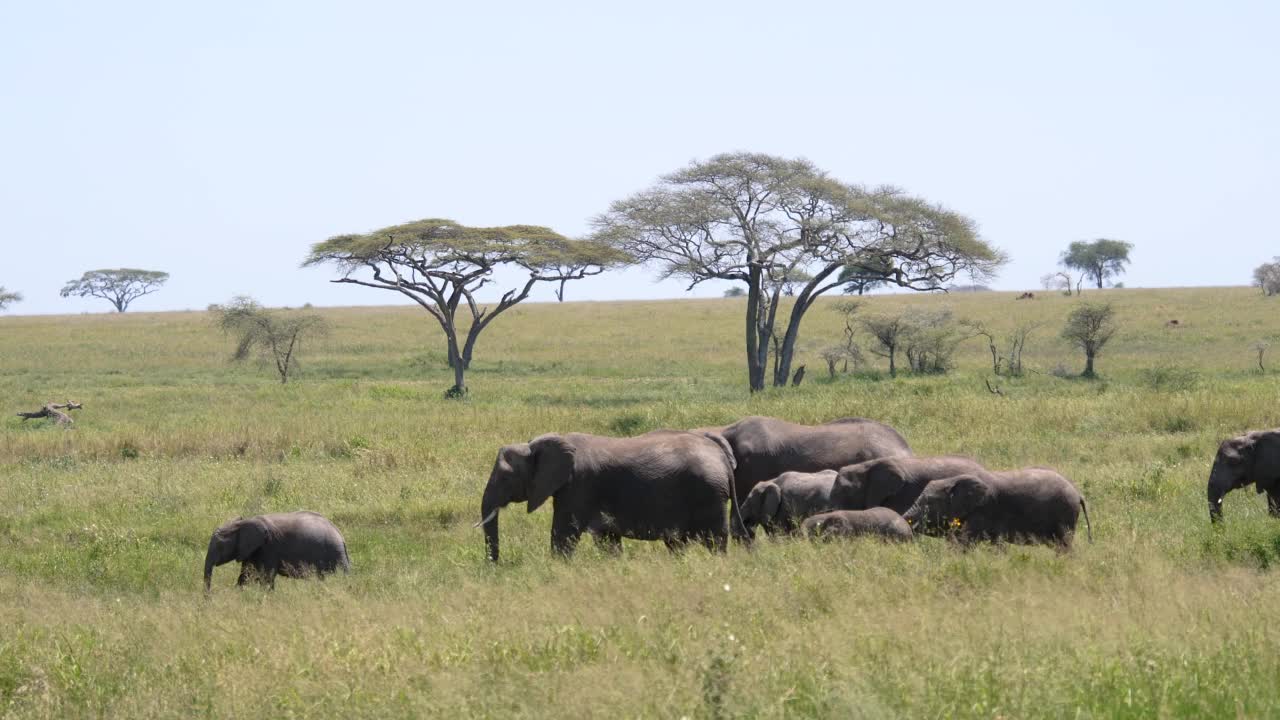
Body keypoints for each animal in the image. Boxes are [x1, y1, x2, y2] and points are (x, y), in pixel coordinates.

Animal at [202, 504, 350, 589]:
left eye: (220, 546)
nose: (208, 600)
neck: (243, 524)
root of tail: (341, 536)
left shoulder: (269, 547)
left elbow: (266, 577)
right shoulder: (251, 550)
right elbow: (245, 576)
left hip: (335, 553)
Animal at [478, 425, 742, 561]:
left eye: (505, 477)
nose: (495, 566)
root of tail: (720, 455)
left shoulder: (578, 486)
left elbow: (564, 533)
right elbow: (607, 539)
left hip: (709, 494)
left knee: (715, 539)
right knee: (677, 542)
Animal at [901, 468, 1090, 545]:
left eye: (928, 503)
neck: (953, 480)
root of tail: (1078, 494)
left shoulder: (983, 510)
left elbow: (964, 543)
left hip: (1065, 513)